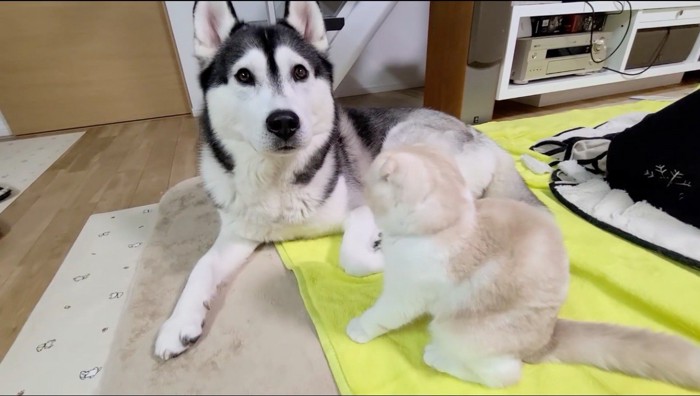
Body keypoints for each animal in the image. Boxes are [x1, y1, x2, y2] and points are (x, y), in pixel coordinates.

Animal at [154, 0, 540, 360]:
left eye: (299, 72)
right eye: (244, 76)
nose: (284, 122)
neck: (279, 179)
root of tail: (479, 133)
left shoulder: (362, 208)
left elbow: (352, 259)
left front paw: (384, 256)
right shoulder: (238, 234)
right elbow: (200, 268)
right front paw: (177, 323)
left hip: (402, 145)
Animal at [348, 143, 700, 390]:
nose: (360, 186)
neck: (450, 223)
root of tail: (548, 338)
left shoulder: (405, 294)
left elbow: (381, 315)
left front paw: (359, 328)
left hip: (458, 330)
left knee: (503, 375)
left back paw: (438, 357)